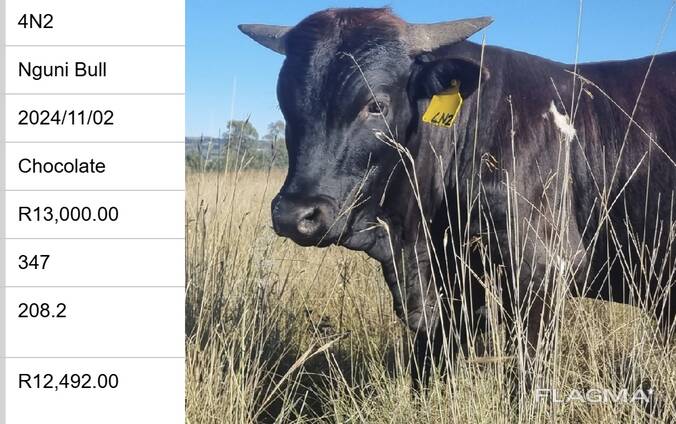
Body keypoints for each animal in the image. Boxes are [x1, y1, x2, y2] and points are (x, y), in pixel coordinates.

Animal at [239, 7, 676, 395]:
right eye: (285, 103)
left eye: (375, 105)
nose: (295, 215)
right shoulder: (454, 281)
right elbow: (428, 364)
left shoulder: (539, 270)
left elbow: (530, 378)